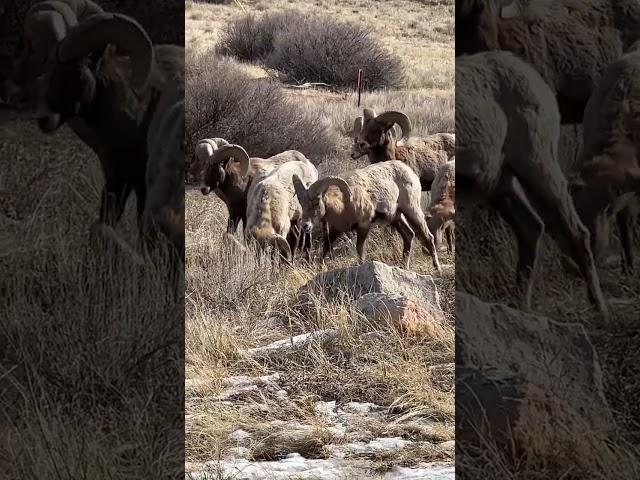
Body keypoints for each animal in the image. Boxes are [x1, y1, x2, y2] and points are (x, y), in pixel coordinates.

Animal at [294, 161, 440, 274]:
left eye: (316, 202)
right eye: (301, 203)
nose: (305, 225)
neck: (343, 203)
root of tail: (410, 172)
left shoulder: (364, 225)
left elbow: (360, 249)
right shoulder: (337, 230)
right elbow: (326, 248)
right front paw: (320, 267)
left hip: (412, 210)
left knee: (428, 236)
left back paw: (437, 268)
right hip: (396, 217)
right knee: (409, 235)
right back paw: (404, 266)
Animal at [456, 49, 608, 318]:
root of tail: (539, 84)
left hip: (537, 166)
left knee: (576, 232)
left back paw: (601, 311)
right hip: (502, 184)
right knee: (531, 228)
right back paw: (520, 307)